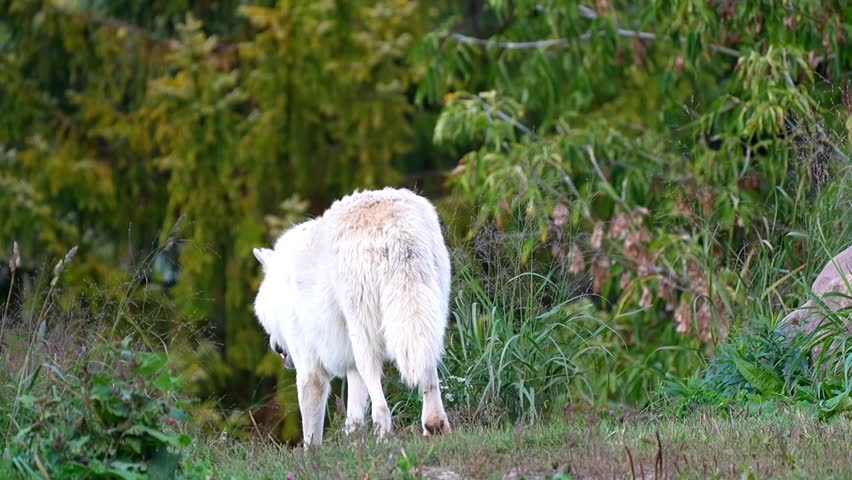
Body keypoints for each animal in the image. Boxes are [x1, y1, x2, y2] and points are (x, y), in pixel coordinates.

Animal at [252, 187, 452, 446]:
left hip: (364, 339)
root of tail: (396, 226)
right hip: (426, 323)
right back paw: (435, 428)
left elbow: (310, 434)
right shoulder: (352, 368)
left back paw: (382, 442)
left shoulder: (309, 370)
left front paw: (312, 455)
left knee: (382, 409)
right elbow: (353, 419)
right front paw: (353, 444)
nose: (275, 347)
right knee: (427, 376)